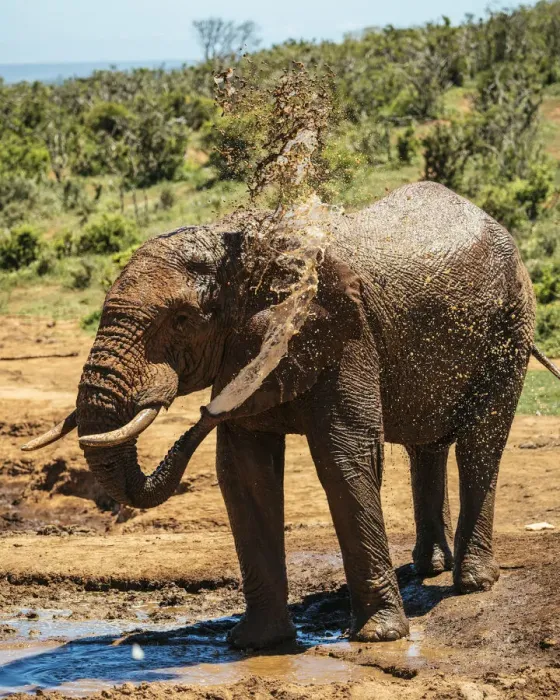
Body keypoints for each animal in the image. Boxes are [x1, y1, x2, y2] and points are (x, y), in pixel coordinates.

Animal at [24, 181, 560, 649]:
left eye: (181, 320)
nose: (201, 412)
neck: (252, 253)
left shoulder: (346, 334)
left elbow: (344, 457)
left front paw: (379, 637)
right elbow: (243, 472)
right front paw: (253, 644)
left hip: (511, 323)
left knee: (481, 442)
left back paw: (473, 582)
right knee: (426, 447)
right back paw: (426, 570)